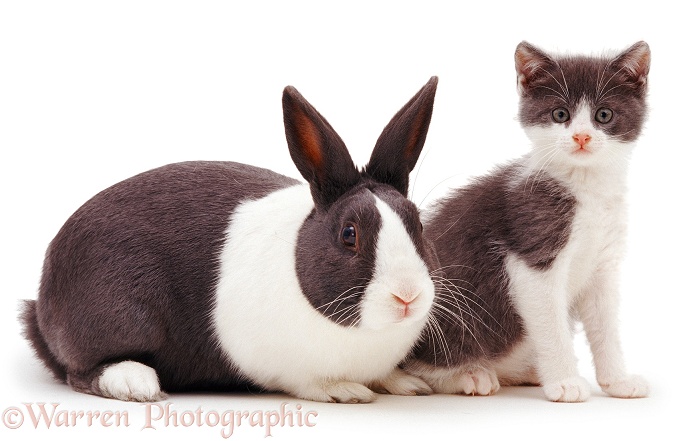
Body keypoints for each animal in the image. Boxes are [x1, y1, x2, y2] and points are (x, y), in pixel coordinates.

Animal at [21, 76, 440, 402]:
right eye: (349, 234)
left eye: (418, 225)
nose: (407, 296)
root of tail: (42, 304)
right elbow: (312, 382)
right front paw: (345, 390)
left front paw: (406, 382)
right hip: (120, 317)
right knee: (79, 370)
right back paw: (135, 383)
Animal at [406, 42, 648, 402]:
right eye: (560, 114)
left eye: (603, 115)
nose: (581, 137)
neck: (585, 186)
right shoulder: (532, 249)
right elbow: (550, 324)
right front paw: (565, 381)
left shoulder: (604, 264)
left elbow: (605, 324)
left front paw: (617, 380)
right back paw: (470, 375)